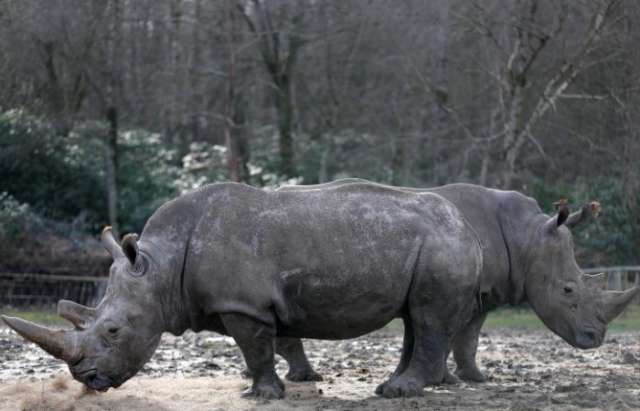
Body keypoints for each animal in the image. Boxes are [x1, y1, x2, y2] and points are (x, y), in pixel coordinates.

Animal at [2, 182, 487, 399]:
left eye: (114, 332)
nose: (87, 380)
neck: (160, 269)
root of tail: (467, 226)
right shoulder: (244, 304)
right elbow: (260, 349)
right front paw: (258, 391)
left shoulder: (244, 306)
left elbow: (255, 349)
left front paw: (262, 396)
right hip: (432, 243)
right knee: (414, 316)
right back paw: (391, 387)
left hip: (443, 245)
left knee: (427, 317)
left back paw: (401, 392)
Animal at [274, 179, 639, 385]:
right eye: (568, 290)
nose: (594, 339)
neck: (528, 238)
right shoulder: (465, 291)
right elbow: (452, 336)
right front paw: (448, 380)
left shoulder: (483, 293)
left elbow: (467, 338)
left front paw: (473, 379)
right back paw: (305, 377)